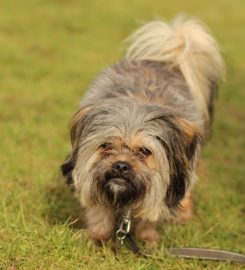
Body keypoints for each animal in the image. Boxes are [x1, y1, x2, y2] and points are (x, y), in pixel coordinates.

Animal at [60, 16, 224, 245]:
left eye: (145, 151)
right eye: (106, 146)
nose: (121, 166)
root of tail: (166, 62)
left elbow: (152, 212)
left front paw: (147, 238)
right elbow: (98, 210)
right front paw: (96, 236)